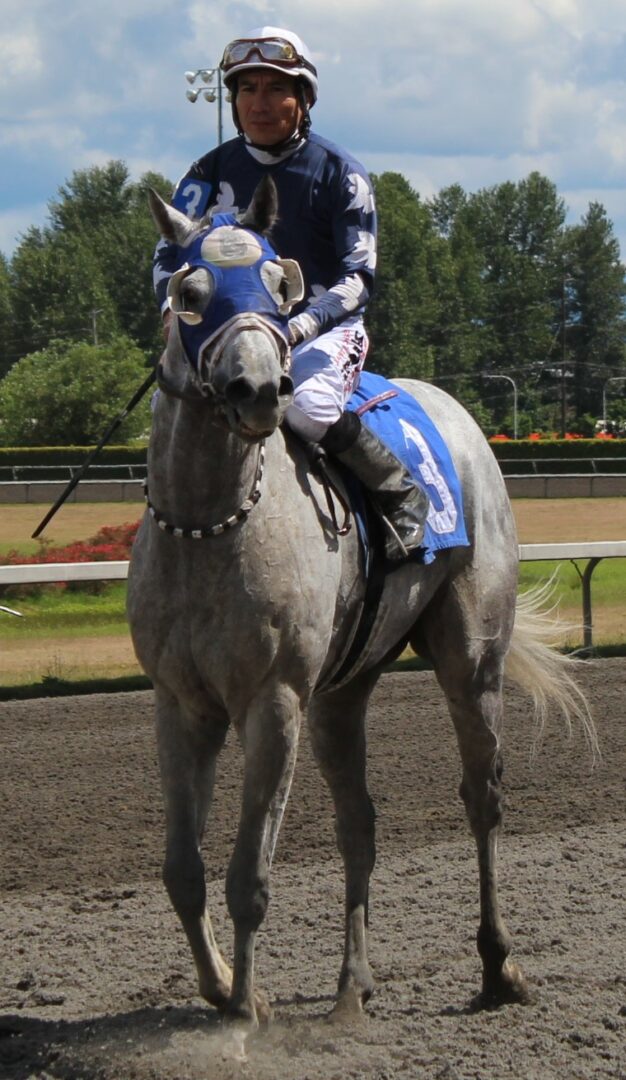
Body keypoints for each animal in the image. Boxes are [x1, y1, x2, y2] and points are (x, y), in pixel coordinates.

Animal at [127, 176, 594, 1030]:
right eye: (188, 291)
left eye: (281, 285)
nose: (259, 389)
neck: (213, 526)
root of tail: (453, 411)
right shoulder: (180, 702)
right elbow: (183, 870)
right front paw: (221, 986)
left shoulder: (274, 698)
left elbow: (249, 877)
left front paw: (245, 1011)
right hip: (345, 689)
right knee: (360, 822)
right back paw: (353, 986)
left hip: (471, 657)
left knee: (483, 797)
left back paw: (498, 965)